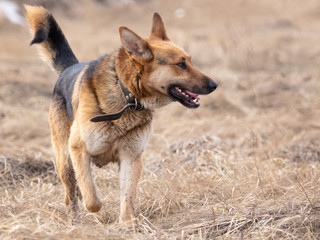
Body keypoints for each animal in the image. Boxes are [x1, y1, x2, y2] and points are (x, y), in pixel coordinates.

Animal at [25, 5, 218, 223]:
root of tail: (69, 68)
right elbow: (92, 199)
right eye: (180, 64)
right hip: (64, 160)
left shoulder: (131, 158)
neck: (127, 96)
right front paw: (96, 206)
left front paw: (127, 224)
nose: (214, 85)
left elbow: (127, 196)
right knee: (70, 194)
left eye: (190, 61)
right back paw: (75, 220)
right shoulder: (78, 149)